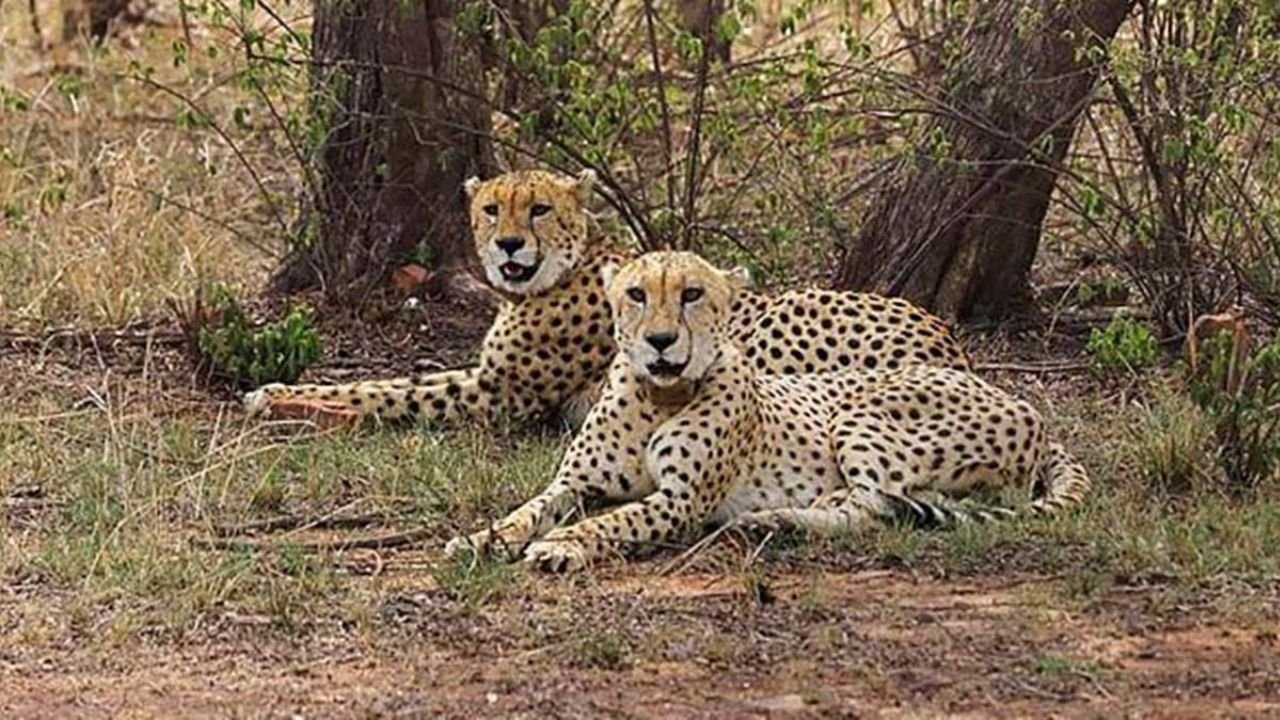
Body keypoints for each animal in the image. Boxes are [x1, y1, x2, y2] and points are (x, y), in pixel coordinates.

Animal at [244, 169, 969, 432]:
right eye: (491, 209)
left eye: (538, 208)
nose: (508, 245)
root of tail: (946, 338)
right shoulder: (488, 378)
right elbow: (390, 381)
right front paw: (278, 390)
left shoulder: (499, 395)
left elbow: (386, 393)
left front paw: (284, 401)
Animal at [445, 251, 1091, 573]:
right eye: (636, 294)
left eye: (692, 294)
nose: (660, 342)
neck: (658, 396)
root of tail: (1025, 406)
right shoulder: (575, 482)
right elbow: (528, 509)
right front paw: (482, 538)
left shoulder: (680, 502)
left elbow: (613, 521)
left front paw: (563, 546)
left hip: (858, 412)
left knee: (875, 505)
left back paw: (777, 519)